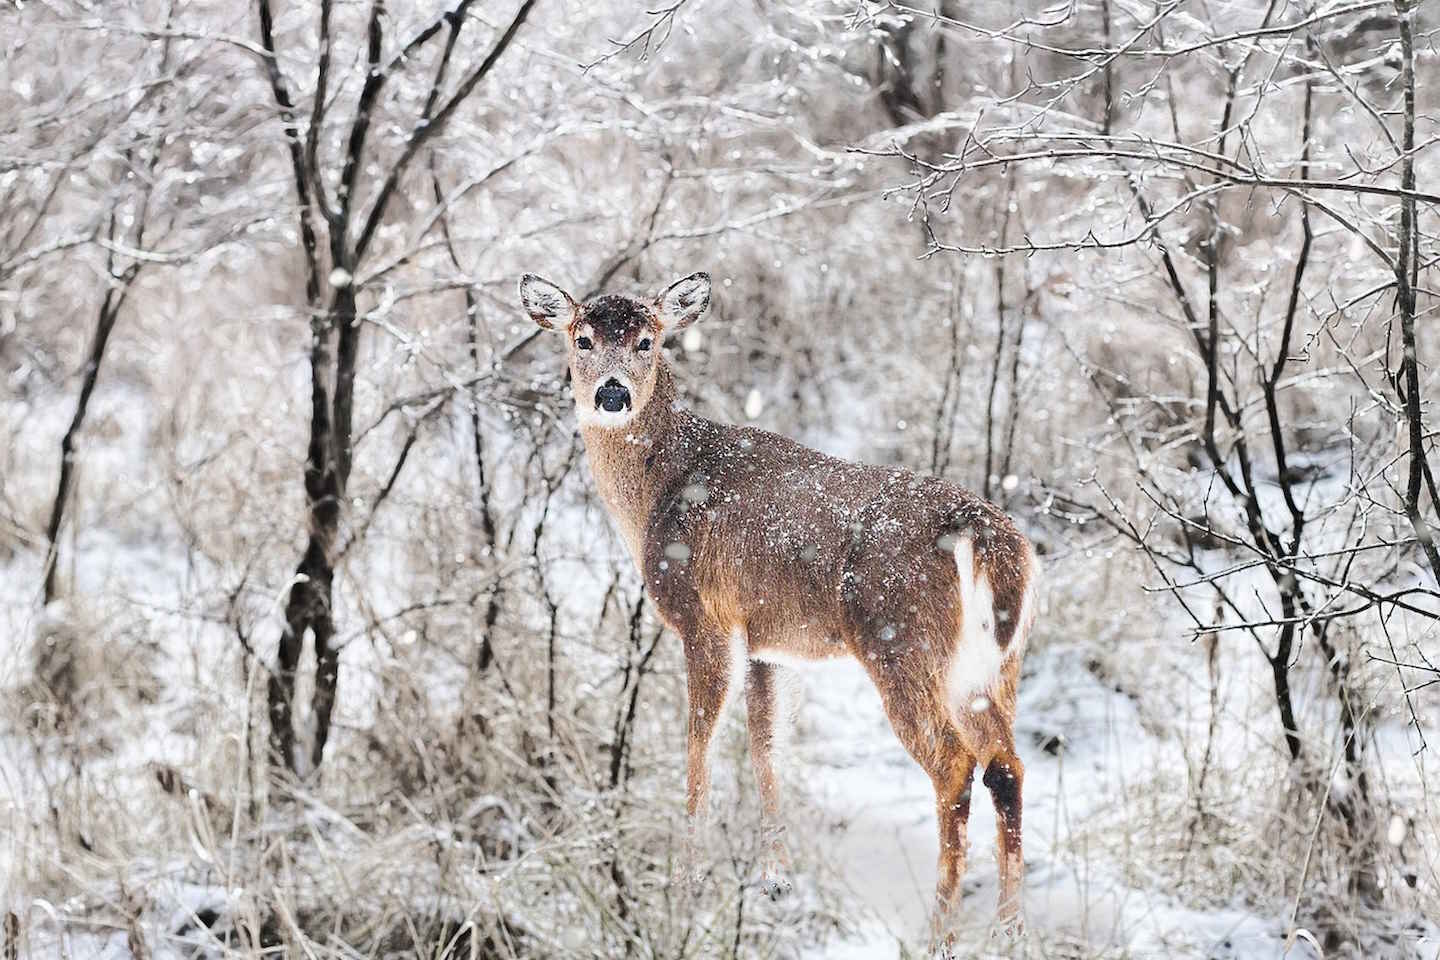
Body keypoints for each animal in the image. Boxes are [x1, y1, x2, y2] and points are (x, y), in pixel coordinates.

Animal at [524, 270, 1042, 938]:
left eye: (647, 341)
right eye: (582, 338)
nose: (611, 394)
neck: (659, 490)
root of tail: (986, 538)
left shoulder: (705, 617)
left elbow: (699, 743)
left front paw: (686, 885)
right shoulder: (769, 641)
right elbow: (765, 746)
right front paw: (776, 879)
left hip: (901, 642)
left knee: (955, 766)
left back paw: (939, 933)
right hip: (993, 665)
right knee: (1007, 765)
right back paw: (1009, 929)